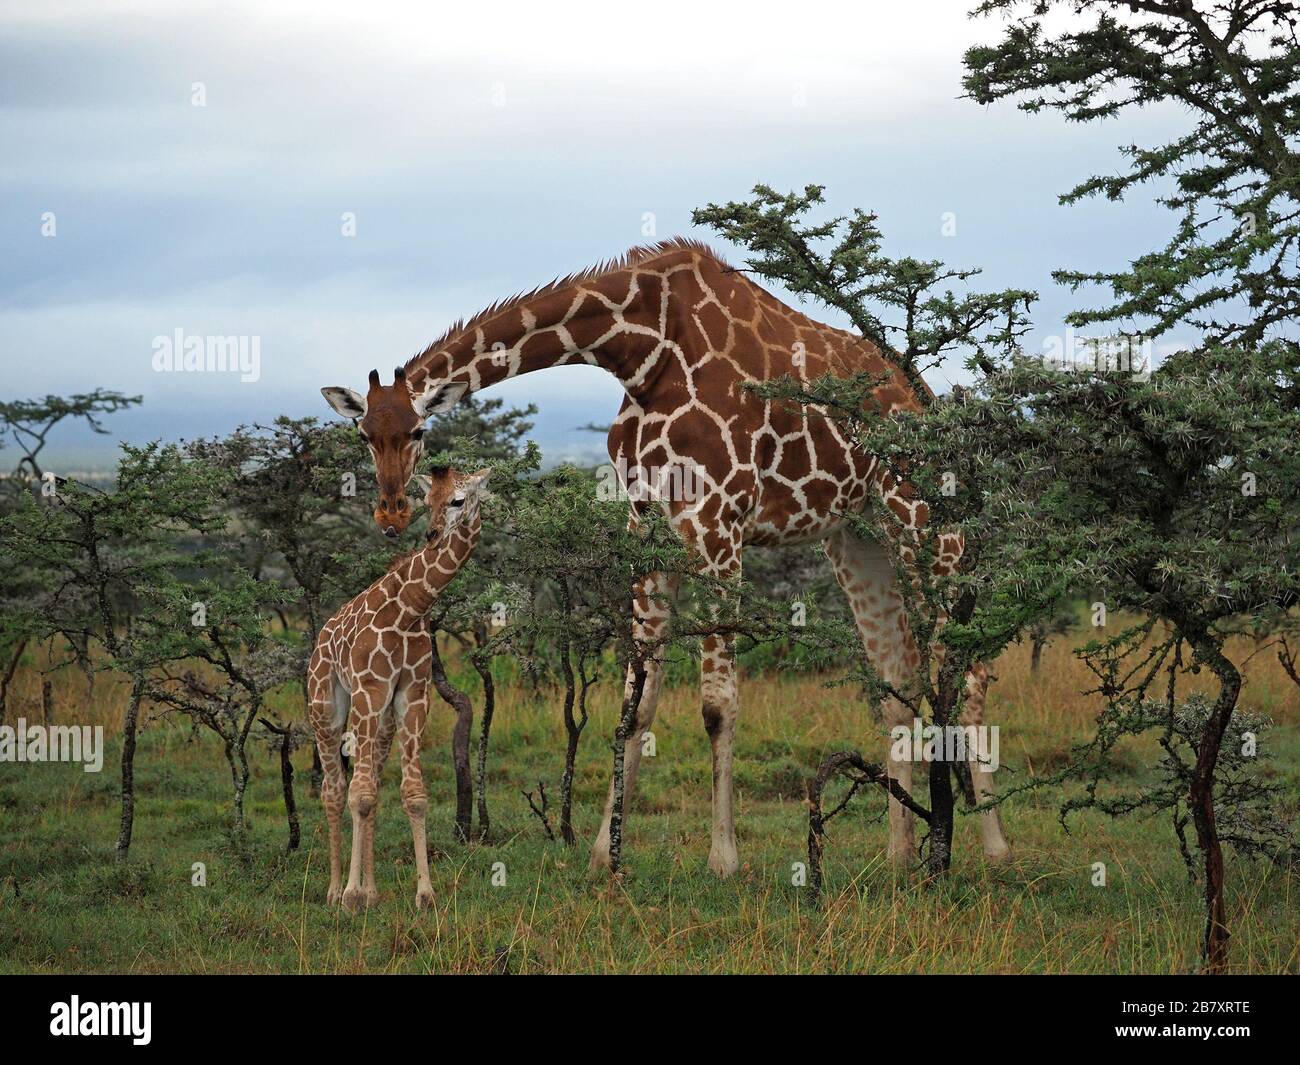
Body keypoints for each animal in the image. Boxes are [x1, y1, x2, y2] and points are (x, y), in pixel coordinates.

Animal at [306, 470, 488, 910]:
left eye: (459, 499)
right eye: (428, 499)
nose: (433, 534)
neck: (411, 608)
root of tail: (321, 638)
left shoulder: (413, 694)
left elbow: (411, 794)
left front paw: (425, 893)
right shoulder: (369, 689)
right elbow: (358, 795)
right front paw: (350, 895)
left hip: (384, 720)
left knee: (371, 786)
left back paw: (371, 891)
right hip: (325, 705)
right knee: (335, 790)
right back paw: (335, 890)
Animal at [319, 239, 1008, 873]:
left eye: (415, 431)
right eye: (364, 432)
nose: (390, 515)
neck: (643, 353)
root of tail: (922, 397)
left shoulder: (718, 523)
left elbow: (717, 704)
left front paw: (723, 858)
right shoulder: (646, 526)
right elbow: (636, 700)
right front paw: (604, 854)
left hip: (925, 521)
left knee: (967, 674)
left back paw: (992, 846)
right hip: (856, 534)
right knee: (898, 679)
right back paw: (898, 854)